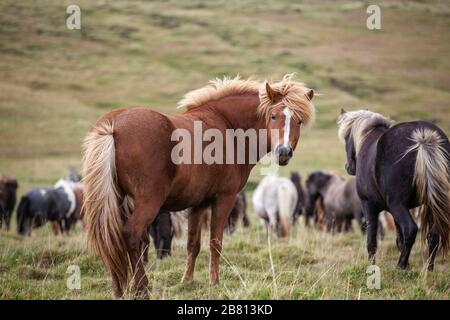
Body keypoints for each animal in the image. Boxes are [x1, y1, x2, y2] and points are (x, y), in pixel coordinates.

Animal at [82, 74, 314, 298]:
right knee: (131, 234)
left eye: (299, 121)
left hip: (117, 202)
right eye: (274, 116)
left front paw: (186, 280)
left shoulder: (198, 203)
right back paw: (142, 289)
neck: (228, 127)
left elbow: (193, 244)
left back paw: (119, 289)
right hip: (147, 202)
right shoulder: (224, 198)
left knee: (110, 237)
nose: (283, 152)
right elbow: (215, 242)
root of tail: (114, 125)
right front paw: (215, 282)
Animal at [340, 109, 448, 270]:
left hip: (398, 204)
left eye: (347, 137)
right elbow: (399, 239)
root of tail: (422, 138)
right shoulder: (395, 210)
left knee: (411, 229)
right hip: (430, 204)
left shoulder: (369, 205)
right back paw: (428, 269)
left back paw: (400, 265)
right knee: (434, 234)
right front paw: (408, 264)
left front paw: (372, 266)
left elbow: (371, 241)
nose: (349, 167)